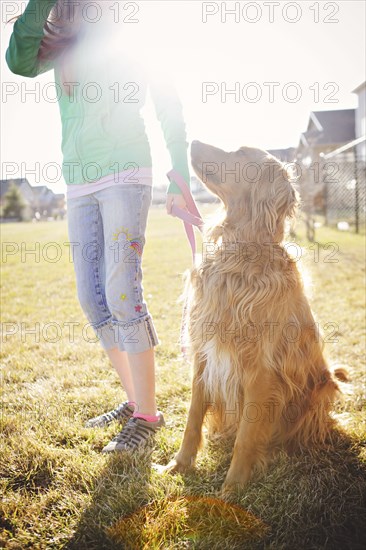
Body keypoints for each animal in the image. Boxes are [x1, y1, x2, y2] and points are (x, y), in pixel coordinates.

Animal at [162, 141, 346, 496]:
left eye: (242, 153)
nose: (191, 142)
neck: (240, 256)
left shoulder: (261, 371)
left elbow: (247, 436)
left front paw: (231, 490)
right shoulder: (204, 356)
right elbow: (192, 417)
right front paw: (179, 464)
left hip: (323, 388)